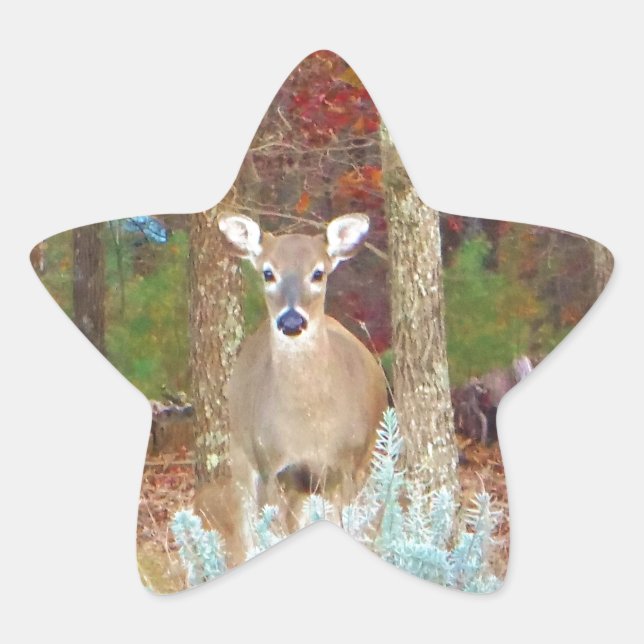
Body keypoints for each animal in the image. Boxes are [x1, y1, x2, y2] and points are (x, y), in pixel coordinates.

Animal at [203, 212, 388, 562]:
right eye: (268, 272)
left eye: (318, 272)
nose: (291, 322)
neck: (309, 425)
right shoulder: (273, 467)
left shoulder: (345, 466)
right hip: (243, 454)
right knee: (246, 531)